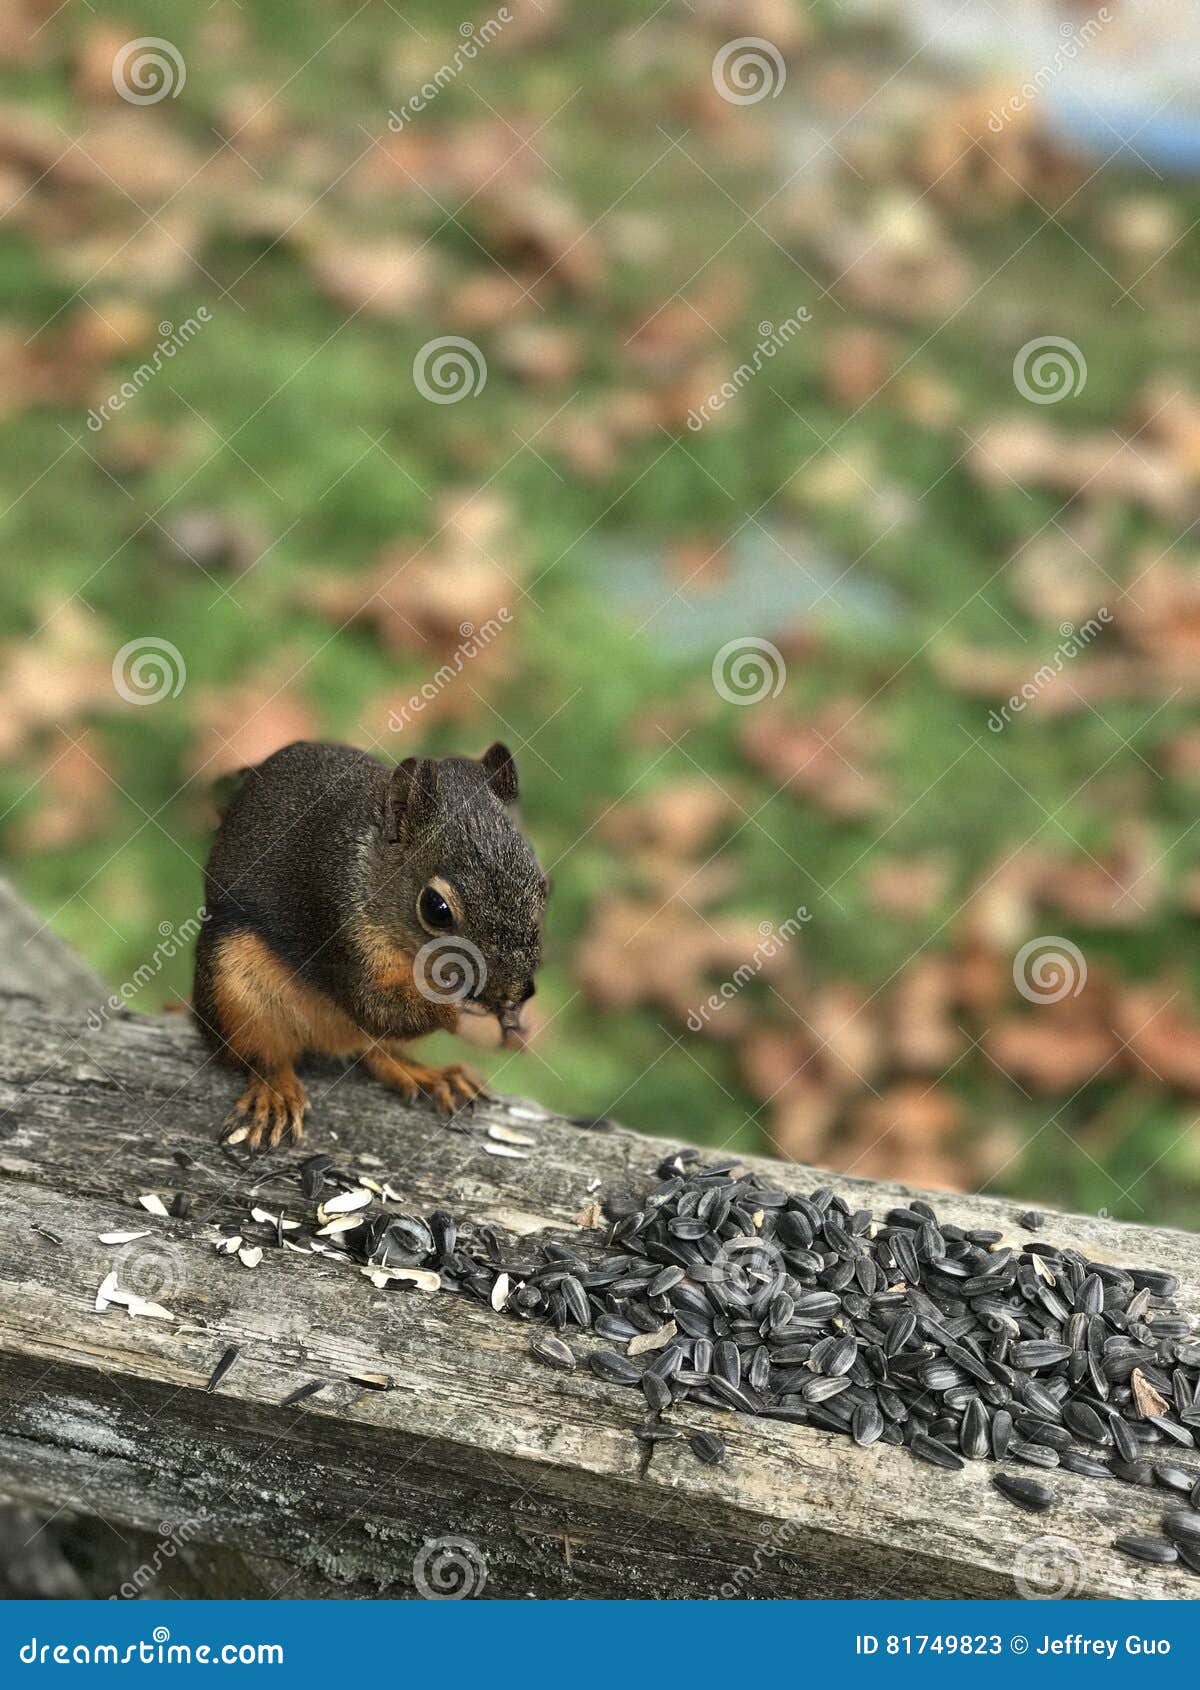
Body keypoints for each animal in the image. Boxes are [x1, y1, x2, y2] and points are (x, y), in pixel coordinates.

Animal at [192, 739, 547, 1150]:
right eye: (436, 908)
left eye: (544, 888)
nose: (516, 993)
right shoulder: (335, 921)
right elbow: (375, 1005)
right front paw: (471, 1020)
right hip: (230, 987)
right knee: (260, 1056)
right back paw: (274, 1090)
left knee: (376, 1051)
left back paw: (424, 1073)